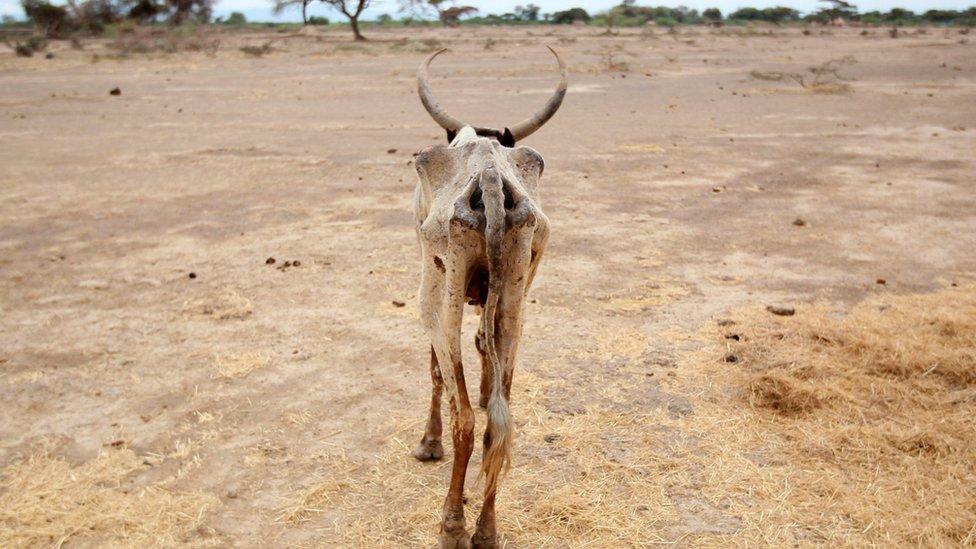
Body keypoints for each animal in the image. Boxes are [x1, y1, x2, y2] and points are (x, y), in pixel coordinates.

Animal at [410, 48, 564, 548]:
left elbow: (436, 371)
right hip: (517, 288)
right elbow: (485, 347)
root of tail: (492, 177)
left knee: (464, 417)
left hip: (441, 293)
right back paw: (487, 528)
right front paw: (483, 389)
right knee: (501, 419)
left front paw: (428, 443)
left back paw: (453, 524)